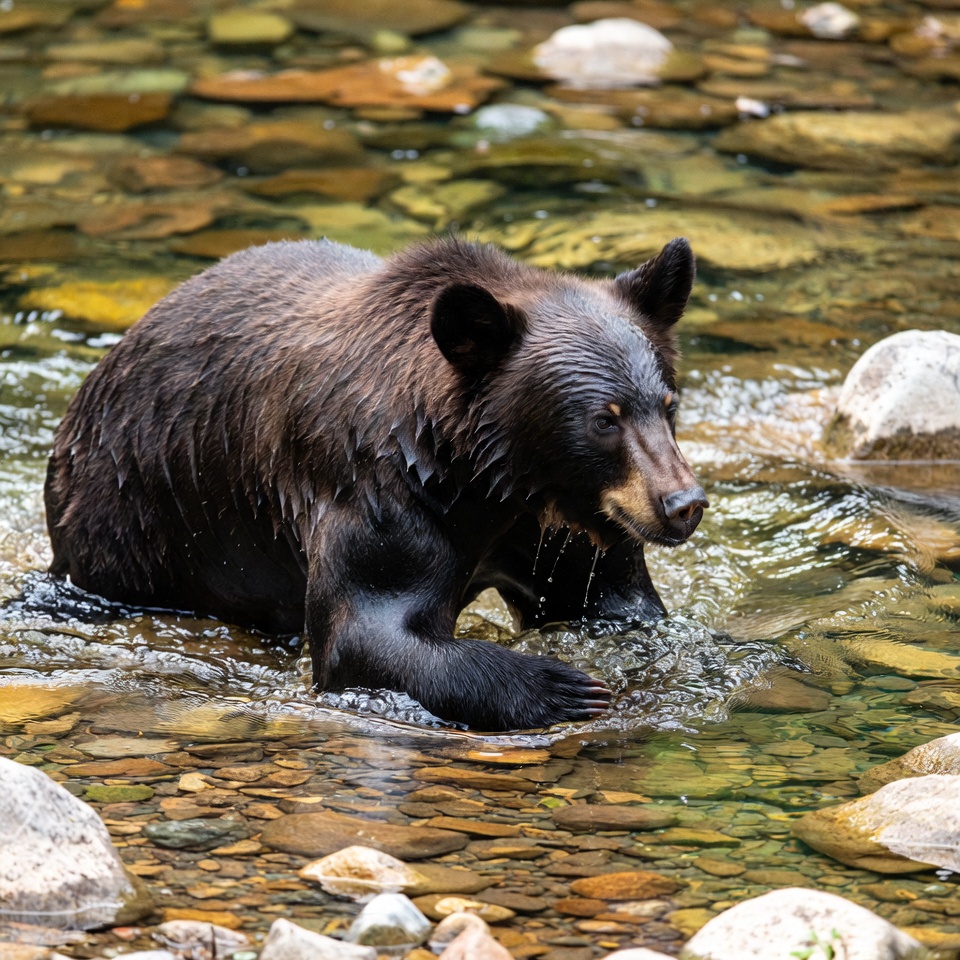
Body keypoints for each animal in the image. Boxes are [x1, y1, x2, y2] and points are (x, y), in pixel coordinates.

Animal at [44, 236, 707, 731]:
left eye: (667, 404)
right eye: (603, 419)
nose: (684, 503)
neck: (489, 479)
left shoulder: (555, 522)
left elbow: (609, 601)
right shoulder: (377, 489)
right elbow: (365, 631)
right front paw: (562, 687)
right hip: (132, 513)